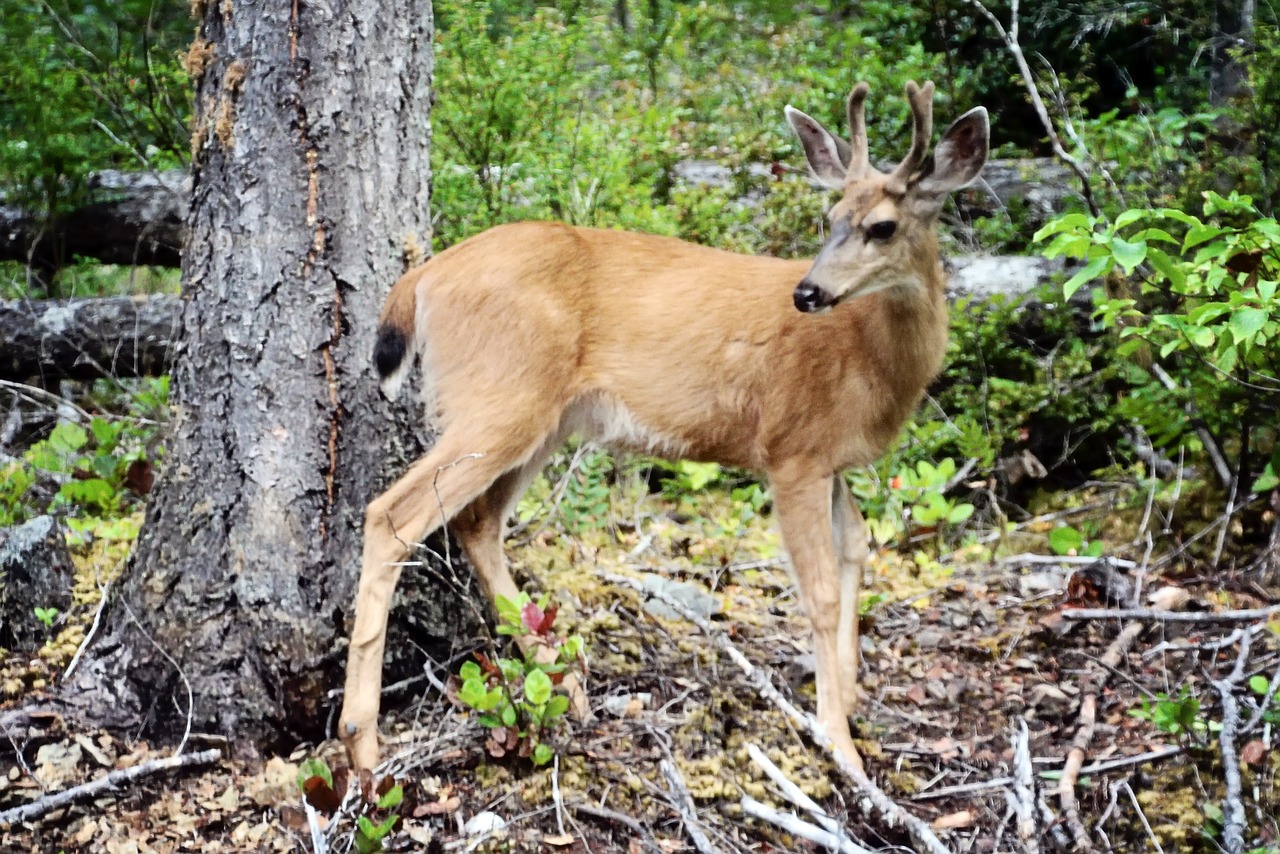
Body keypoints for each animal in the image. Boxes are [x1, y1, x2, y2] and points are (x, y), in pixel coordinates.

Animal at [340, 81, 988, 773]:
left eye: (881, 226)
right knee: (393, 514)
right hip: (498, 399)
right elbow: (819, 590)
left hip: (542, 419)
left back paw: (567, 690)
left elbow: (856, 549)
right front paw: (838, 740)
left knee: (475, 522)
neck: (867, 355)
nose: (809, 292)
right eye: (832, 215)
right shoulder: (793, 449)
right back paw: (362, 739)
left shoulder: (830, 457)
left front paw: (851, 697)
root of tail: (421, 277)